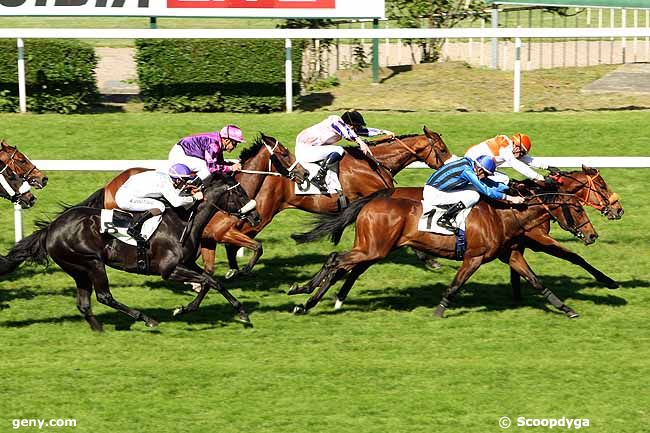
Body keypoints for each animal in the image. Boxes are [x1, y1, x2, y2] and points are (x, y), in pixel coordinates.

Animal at [2, 173, 260, 330]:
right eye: (239, 192)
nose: (256, 216)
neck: (184, 219)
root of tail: (51, 228)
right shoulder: (169, 270)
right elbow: (210, 281)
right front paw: (239, 312)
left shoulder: (187, 263)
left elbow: (210, 281)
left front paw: (187, 309)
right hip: (91, 263)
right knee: (104, 296)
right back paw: (146, 319)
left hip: (78, 270)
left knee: (84, 302)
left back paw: (99, 329)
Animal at [288, 184, 596, 316]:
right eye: (579, 209)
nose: (593, 235)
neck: (503, 214)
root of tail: (371, 202)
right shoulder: (474, 257)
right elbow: (456, 285)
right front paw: (439, 311)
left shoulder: (510, 254)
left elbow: (536, 281)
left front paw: (566, 309)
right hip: (373, 248)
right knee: (336, 260)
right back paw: (304, 297)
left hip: (373, 248)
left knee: (341, 265)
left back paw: (308, 298)